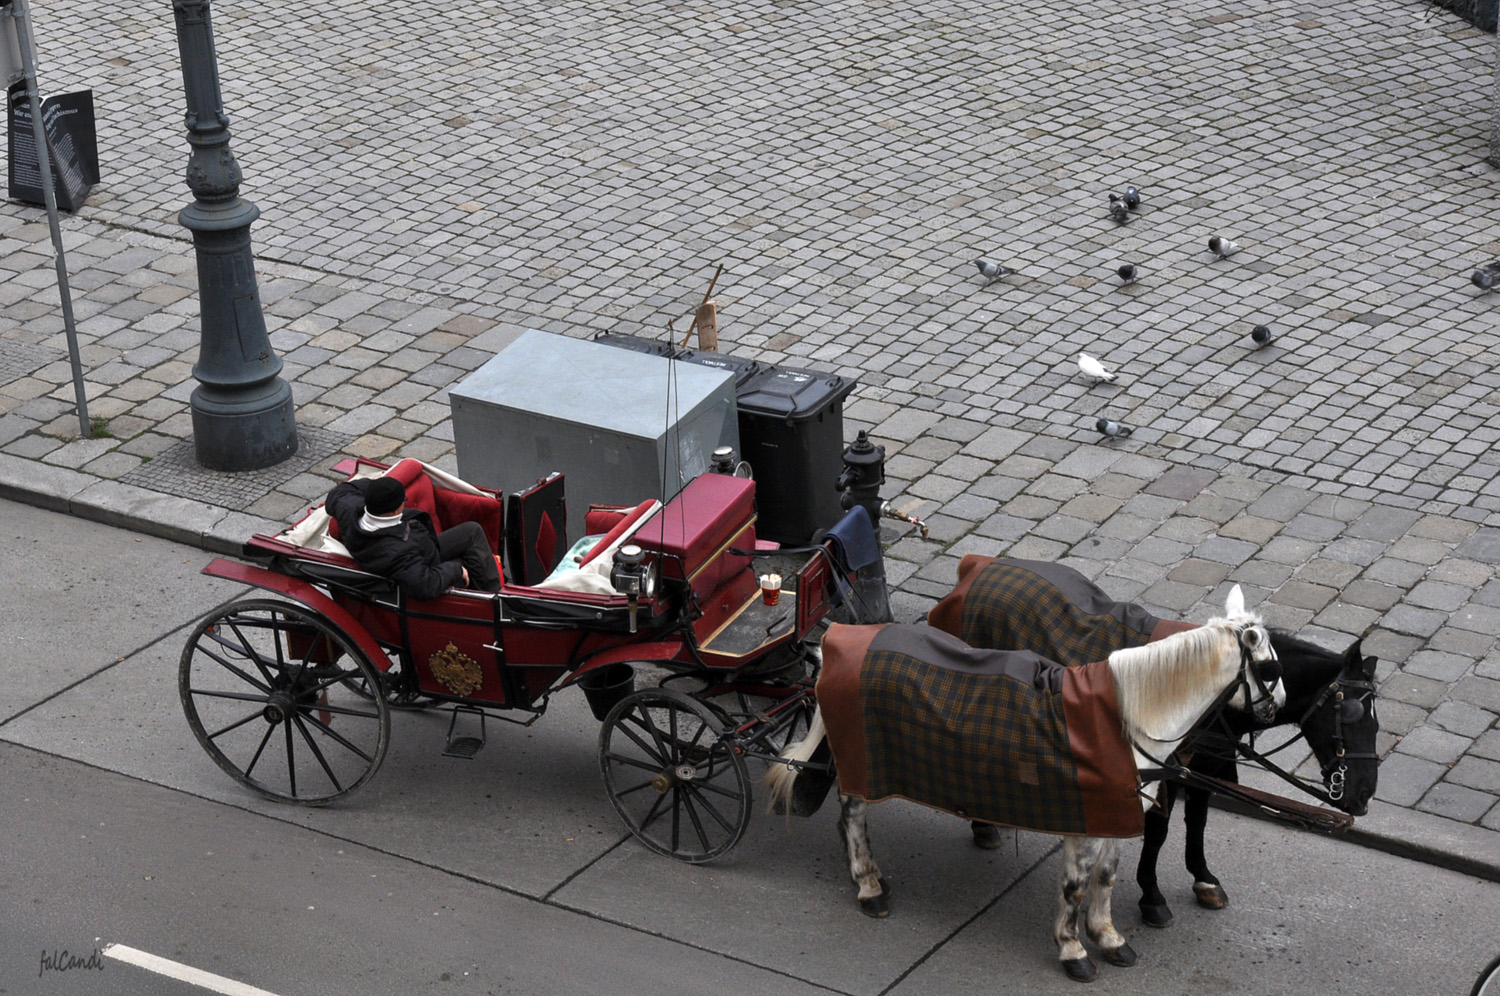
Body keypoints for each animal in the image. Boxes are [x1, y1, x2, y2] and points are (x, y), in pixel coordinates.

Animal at [774, 585, 1278, 978]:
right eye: (1271, 668)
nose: (1278, 706)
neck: (1125, 720)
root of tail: (835, 640)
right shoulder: (1086, 824)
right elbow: (1076, 887)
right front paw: (1073, 949)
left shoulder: (1116, 815)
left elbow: (1107, 879)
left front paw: (1108, 937)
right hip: (862, 765)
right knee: (853, 818)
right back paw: (868, 885)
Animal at [924, 555, 1380, 930]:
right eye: (1352, 714)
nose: (1363, 795)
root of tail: (977, 567)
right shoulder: (1163, 771)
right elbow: (1158, 831)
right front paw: (1152, 896)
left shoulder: (1209, 767)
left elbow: (1197, 819)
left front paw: (1203, 877)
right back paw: (983, 824)